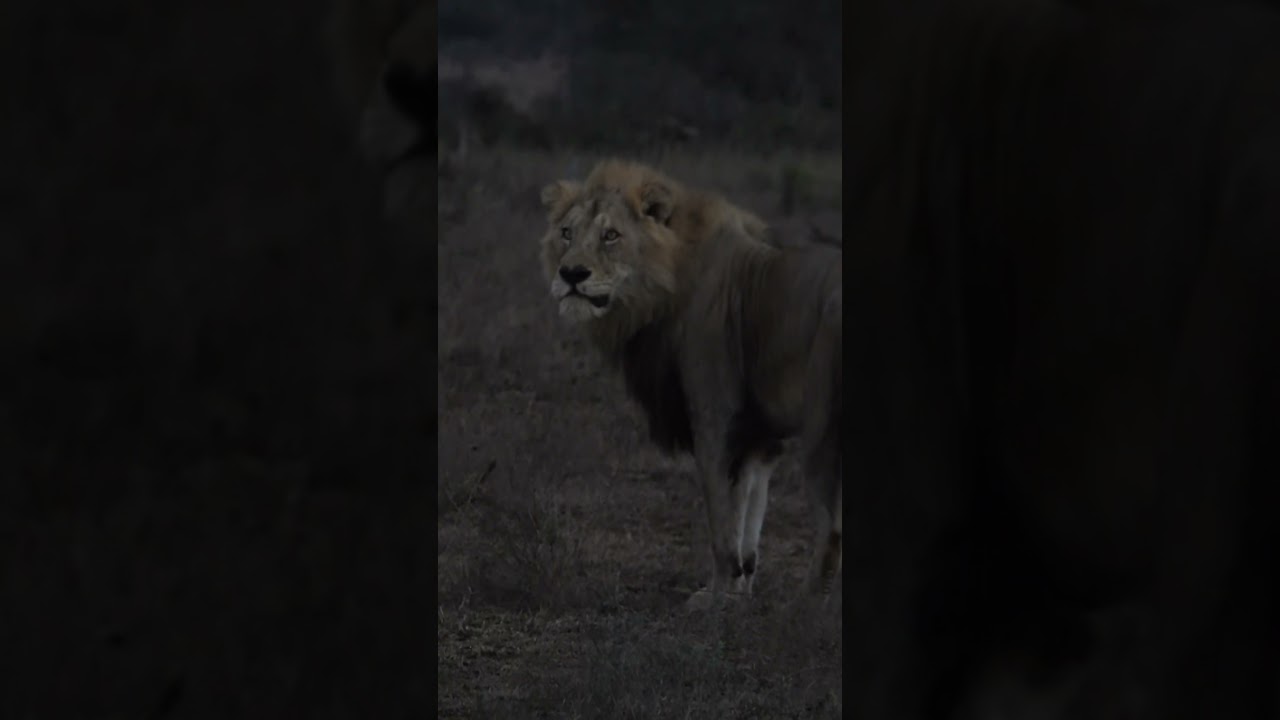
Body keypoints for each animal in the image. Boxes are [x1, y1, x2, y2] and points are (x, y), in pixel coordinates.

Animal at [539, 159, 843, 608]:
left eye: (611, 236)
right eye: (566, 233)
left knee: (830, 529)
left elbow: (722, 519)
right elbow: (750, 515)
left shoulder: (715, 419)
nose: (572, 273)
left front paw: (715, 595)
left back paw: (802, 608)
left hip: (823, 430)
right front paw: (740, 589)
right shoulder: (759, 438)